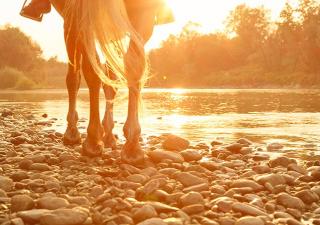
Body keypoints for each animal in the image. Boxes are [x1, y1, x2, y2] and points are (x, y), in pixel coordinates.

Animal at [49, 0, 165, 163]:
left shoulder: (71, 21)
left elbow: (75, 78)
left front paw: (72, 132)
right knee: (131, 63)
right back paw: (130, 144)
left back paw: (95, 139)